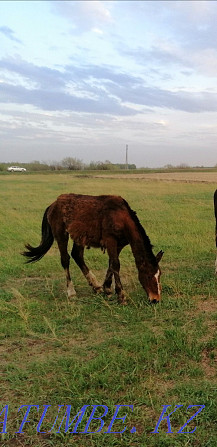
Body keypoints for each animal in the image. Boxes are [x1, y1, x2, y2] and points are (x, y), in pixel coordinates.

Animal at [22, 193, 164, 304]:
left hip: (79, 236)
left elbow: (111, 264)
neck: (121, 217)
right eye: (148, 276)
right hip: (61, 234)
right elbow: (116, 265)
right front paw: (121, 296)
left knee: (77, 255)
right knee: (65, 259)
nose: (155, 299)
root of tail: (53, 205)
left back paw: (96, 286)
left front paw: (107, 289)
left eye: (159, 275)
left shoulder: (119, 244)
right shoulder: (110, 240)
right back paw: (71, 292)